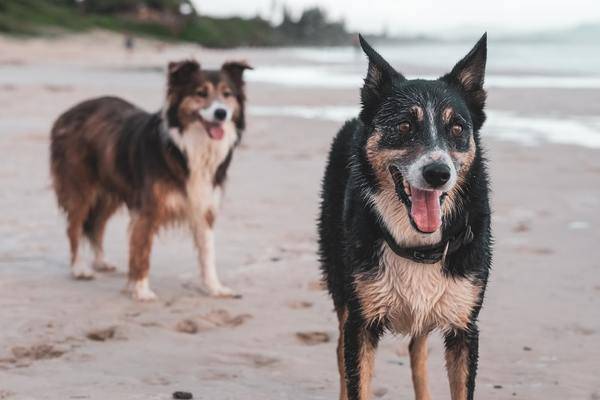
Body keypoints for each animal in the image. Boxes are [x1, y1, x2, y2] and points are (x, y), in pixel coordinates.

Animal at [48, 60, 251, 300]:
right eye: (201, 93)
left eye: (227, 94)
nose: (221, 113)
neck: (187, 147)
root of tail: (69, 111)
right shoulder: (148, 209)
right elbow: (142, 250)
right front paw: (141, 290)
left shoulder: (204, 206)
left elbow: (207, 253)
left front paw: (214, 287)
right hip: (81, 188)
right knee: (75, 227)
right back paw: (79, 268)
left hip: (110, 191)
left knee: (97, 225)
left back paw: (101, 262)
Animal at [318, 34, 492, 400]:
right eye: (404, 125)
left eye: (457, 128)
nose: (438, 173)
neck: (419, 245)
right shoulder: (360, 323)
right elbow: (355, 379)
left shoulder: (465, 328)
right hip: (340, 283)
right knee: (340, 352)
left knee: (417, 351)